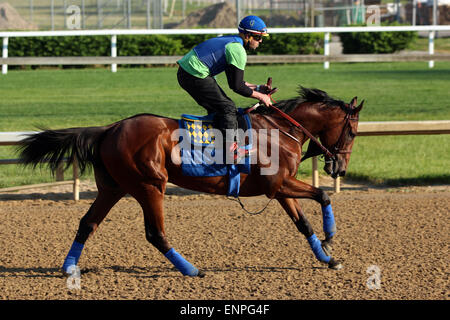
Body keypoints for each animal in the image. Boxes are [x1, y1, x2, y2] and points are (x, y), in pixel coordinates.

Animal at [17, 87, 362, 278]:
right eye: (352, 132)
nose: (341, 168)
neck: (279, 131)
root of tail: (109, 129)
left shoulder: (279, 188)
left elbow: (303, 223)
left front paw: (328, 258)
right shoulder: (278, 185)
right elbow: (322, 195)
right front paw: (331, 238)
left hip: (114, 188)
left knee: (87, 223)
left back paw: (69, 268)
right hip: (150, 185)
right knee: (155, 233)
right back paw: (192, 270)